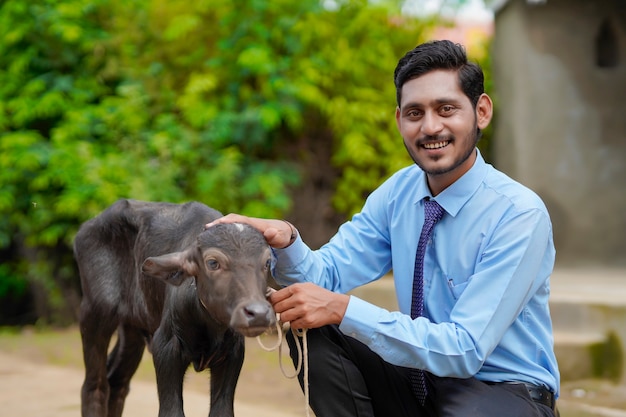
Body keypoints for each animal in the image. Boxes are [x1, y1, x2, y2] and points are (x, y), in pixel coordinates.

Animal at [74, 199, 274, 416]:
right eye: (213, 263)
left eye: (267, 262)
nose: (258, 314)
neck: (207, 326)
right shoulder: (166, 349)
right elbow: (171, 411)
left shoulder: (232, 355)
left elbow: (222, 411)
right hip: (95, 313)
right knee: (95, 385)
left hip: (132, 328)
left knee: (118, 381)